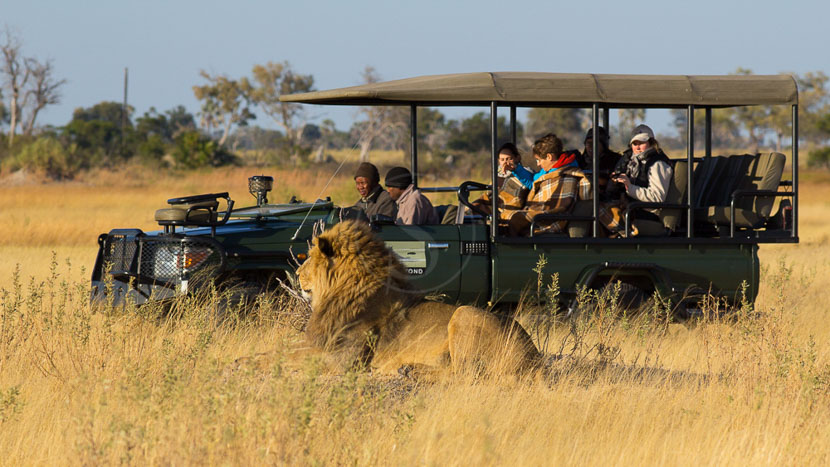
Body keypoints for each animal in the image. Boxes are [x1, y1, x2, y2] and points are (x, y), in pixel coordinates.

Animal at [296, 219, 544, 376]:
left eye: (310, 257)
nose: (297, 273)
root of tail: (534, 357)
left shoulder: (346, 358)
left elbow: (294, 358)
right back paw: (408, 369)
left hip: (464, 313)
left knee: (465, 375)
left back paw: (410, 371)